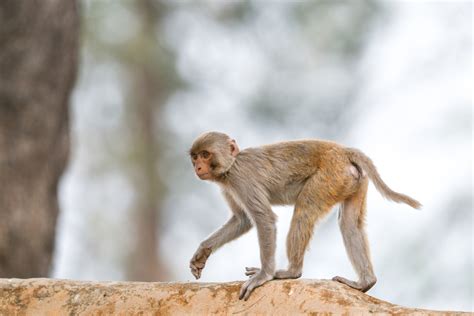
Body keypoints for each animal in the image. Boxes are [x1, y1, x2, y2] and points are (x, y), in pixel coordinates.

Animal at [187, 131, 420, 302]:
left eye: (206, 155)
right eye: (195, 157)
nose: (198, 167)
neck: (231, 164)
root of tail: (343, 151)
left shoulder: (241, 178)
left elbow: (264, 219)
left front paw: (264, 275)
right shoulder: (229, 186)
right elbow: (242, 220)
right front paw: (202, 252)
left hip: (330, 177)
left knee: (304, 210)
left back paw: (291, 272)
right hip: (352, 180)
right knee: (349, 224)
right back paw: (365, 282)